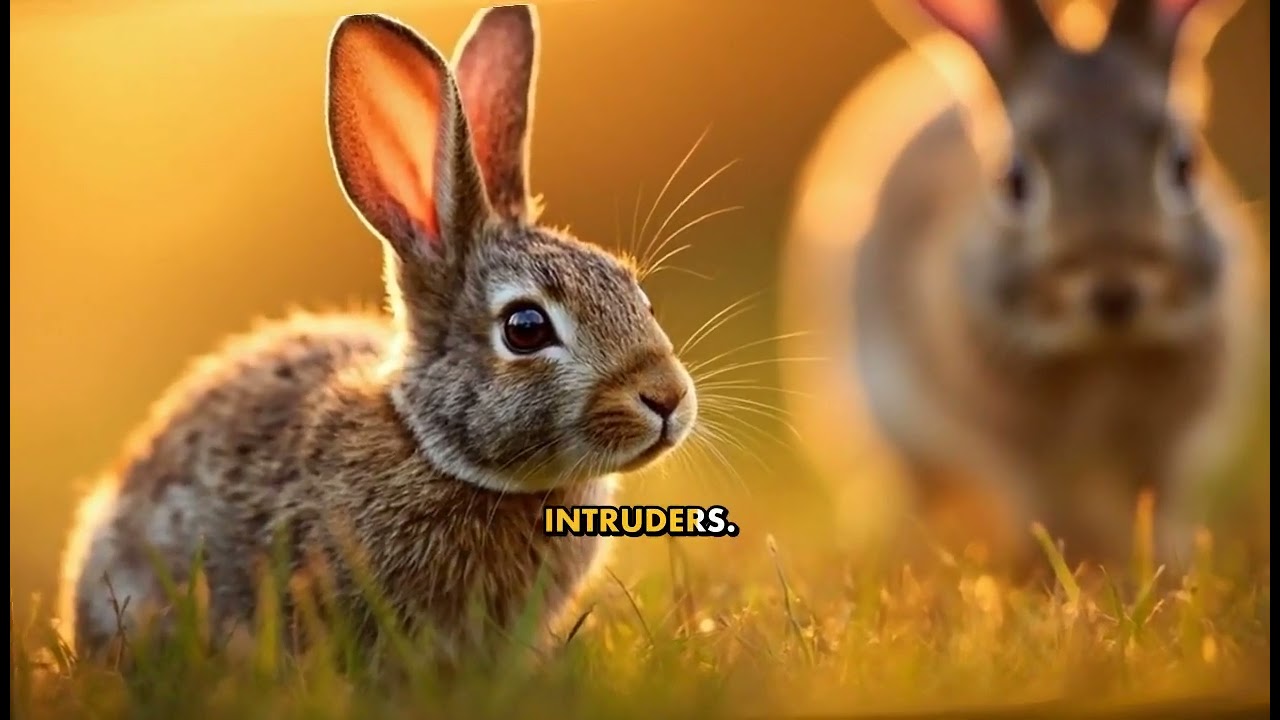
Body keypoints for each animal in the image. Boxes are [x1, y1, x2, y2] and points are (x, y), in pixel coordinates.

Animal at [783, 0, 1266, 577]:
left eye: (1186, 165)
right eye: (1012, 181)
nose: (1114, 290)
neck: (1101, 353)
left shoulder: (1161, 445)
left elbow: (1151, 498)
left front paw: (1162, 565)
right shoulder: (1017, 449)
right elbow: (1040, 504)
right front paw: (1055, 569)